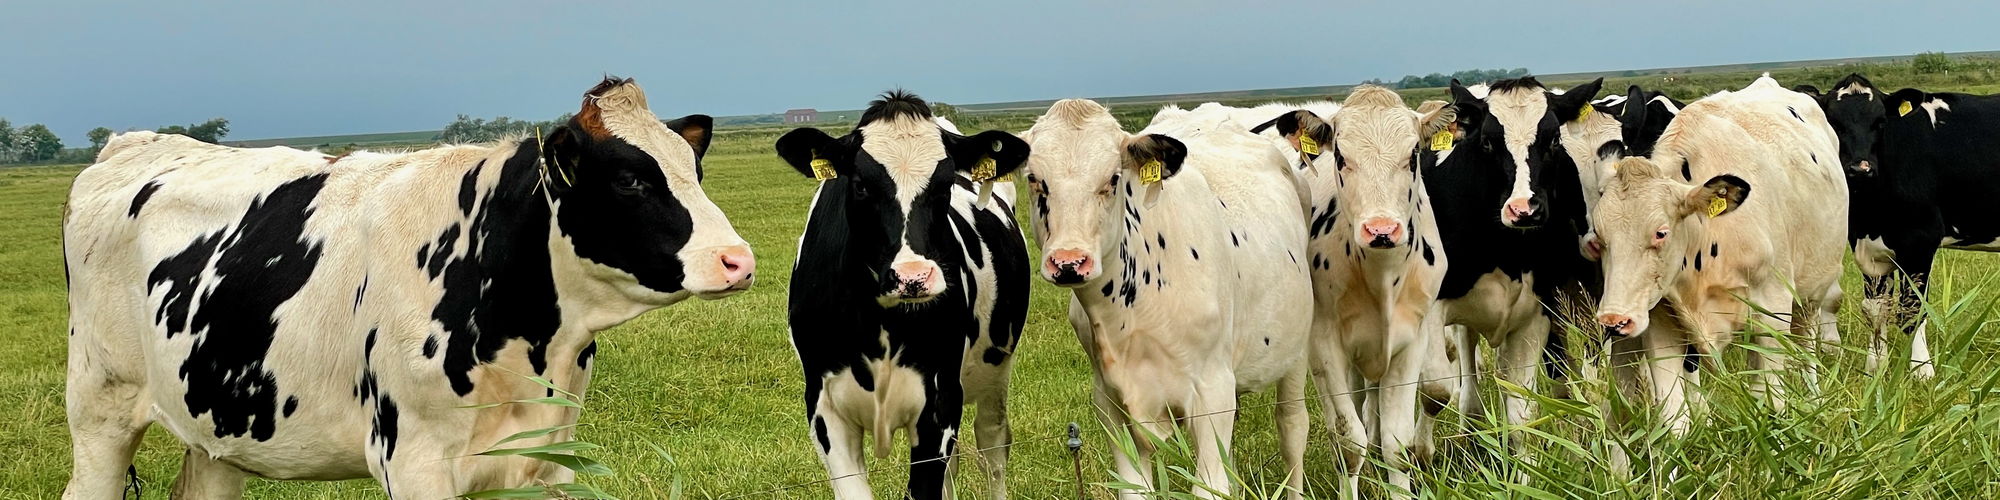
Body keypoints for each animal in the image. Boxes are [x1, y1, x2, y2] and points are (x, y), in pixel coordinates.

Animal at [62, 76, 752, 498]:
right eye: (630, 181)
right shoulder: (412, 460)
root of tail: (131, 144)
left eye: (693, 170)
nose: (737, 260)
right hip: (100, 408)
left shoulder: (548, 456)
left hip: (215, 425)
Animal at [772, 91, 1032, 500]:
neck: (880, 321)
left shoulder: (940, 403)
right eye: (861, 184)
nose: (913, 277)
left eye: (945, 184)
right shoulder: (824, 408)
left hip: (996, 370)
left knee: (993, 447)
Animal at [1024, 99, 1320, 498]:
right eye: (1033, 178)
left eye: (1113, 179)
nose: (1069, 262)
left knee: (1292, 427)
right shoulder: (1109, 401)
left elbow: (1210, 486)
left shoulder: (1212, 391)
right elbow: (1135, 488)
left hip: (1294, 352)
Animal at [1272, 87, 1448, 496]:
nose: (1381, 229)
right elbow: (1349, 444)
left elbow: (1398, 446)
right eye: (1340, 156)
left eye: (1413, 155)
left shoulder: (1411, 341)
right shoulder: (1325, 344)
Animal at [1800, 73, 2000, 378]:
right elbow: (1875, 309)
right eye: (1834, 122)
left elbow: (1912, 308)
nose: (1860, 168)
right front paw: (1875, 367)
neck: (1870, 211)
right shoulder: (1866, 247)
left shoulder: (1919, 241)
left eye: (1881, 121)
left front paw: (1921, 370)